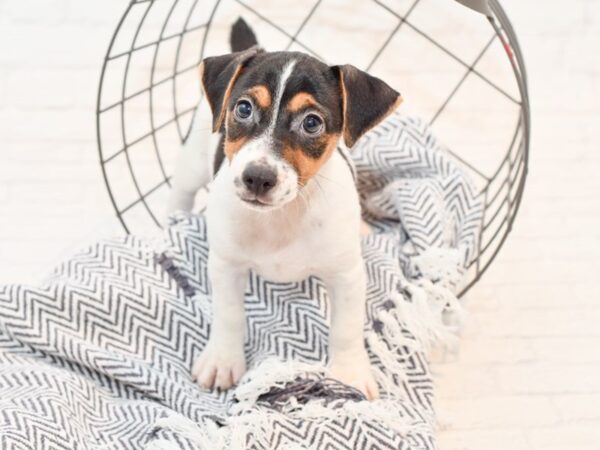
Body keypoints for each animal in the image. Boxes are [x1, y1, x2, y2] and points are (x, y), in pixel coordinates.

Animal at [168, 17, 404, 400]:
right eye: (243, 108)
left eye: (312, 123)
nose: (257, 178)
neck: (283, 215)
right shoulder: (227, 265)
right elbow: (229, 314)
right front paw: (222, 359)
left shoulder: (346, 275)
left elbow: (347, 326)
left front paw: (349, 373)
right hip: (191, 163)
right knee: (179, 194)